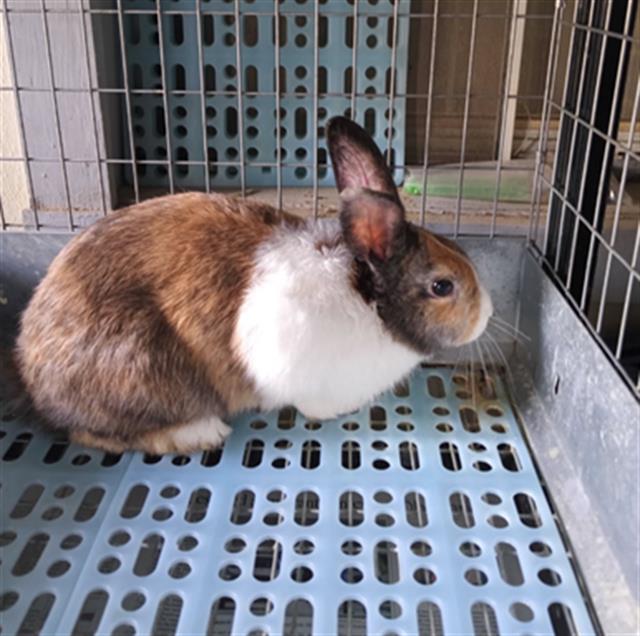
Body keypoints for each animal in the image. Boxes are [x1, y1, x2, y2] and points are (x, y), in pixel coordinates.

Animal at [15, 116, 492, 454]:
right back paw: (198, 434)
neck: (365, 300)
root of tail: (33, 379)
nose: (486, 315)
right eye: (443, 286)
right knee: (95, 433)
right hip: (143, 368)